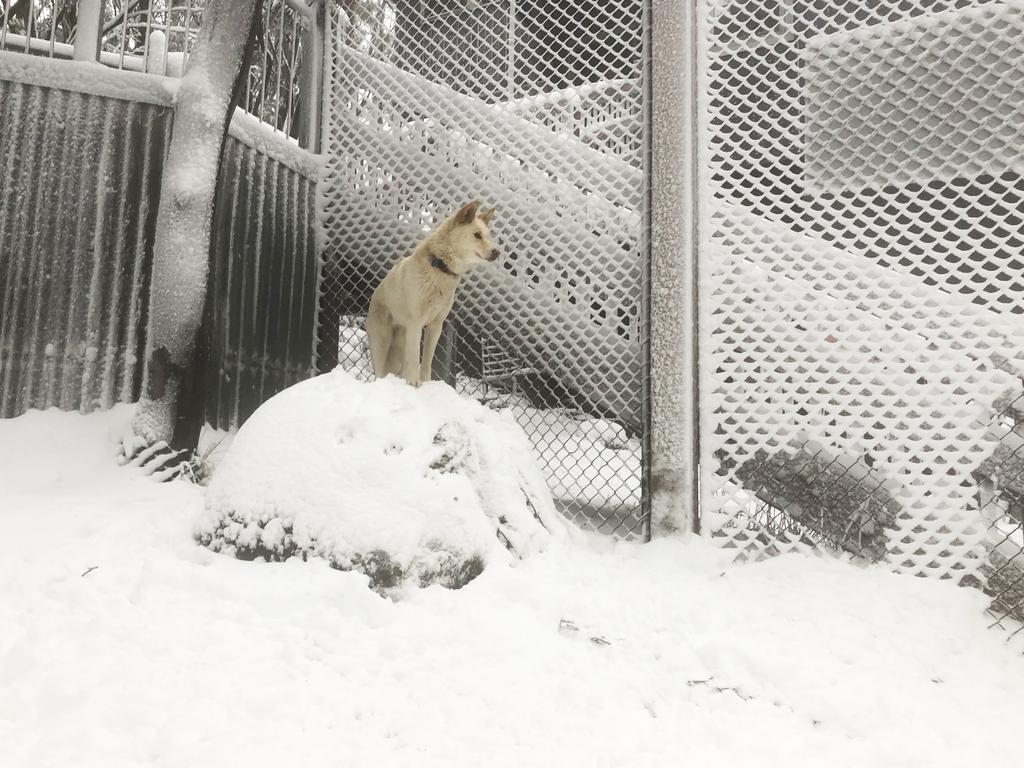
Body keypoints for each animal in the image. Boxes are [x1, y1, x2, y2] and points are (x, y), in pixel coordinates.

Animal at [366, 201, 497, 387]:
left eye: (488, 236)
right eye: (477, 235)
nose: (497, 252)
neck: (440, 267)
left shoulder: (436, 326)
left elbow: (427, 361)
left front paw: (425, 383)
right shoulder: (416, 323)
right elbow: (415, 358)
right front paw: (414, 383)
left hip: (400, 347)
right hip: (382, 343)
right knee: (380, 372)